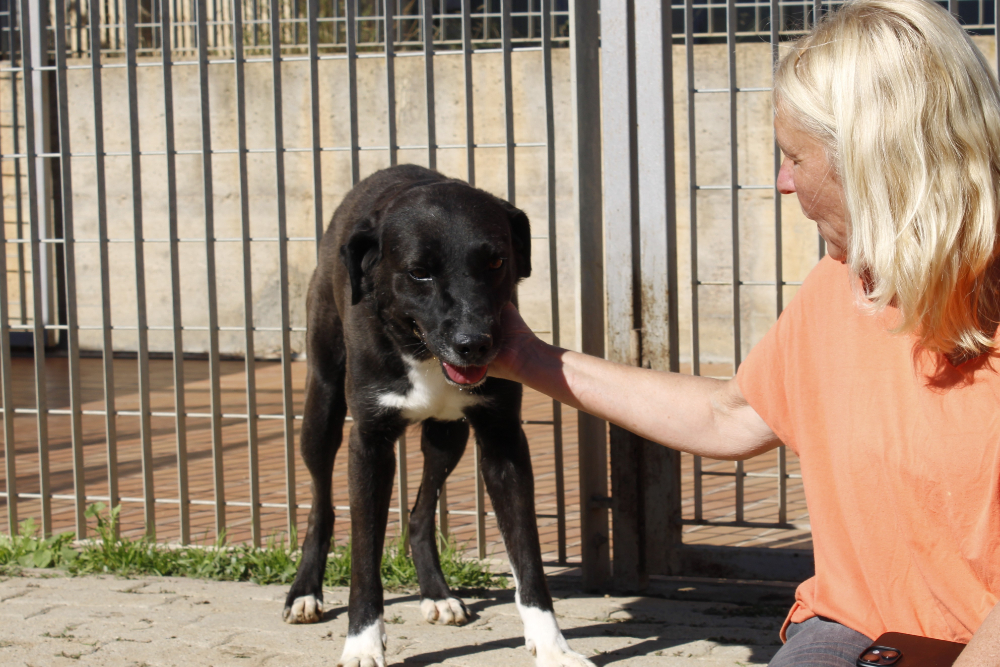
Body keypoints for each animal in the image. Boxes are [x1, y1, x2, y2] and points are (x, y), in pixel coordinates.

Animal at [282, 165, 595, 667]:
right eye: (419, 273)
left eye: (496, 263)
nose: (474, 344)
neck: (423, 354)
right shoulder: (369, 444)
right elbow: (364, 556)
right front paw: (362, 642)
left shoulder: (503, 439)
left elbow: (527, 552)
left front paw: (552, 645)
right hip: (322, 406)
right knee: (321, 505)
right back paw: (305, 591)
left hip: (448, 437)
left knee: (419, 512)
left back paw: (437, 593)